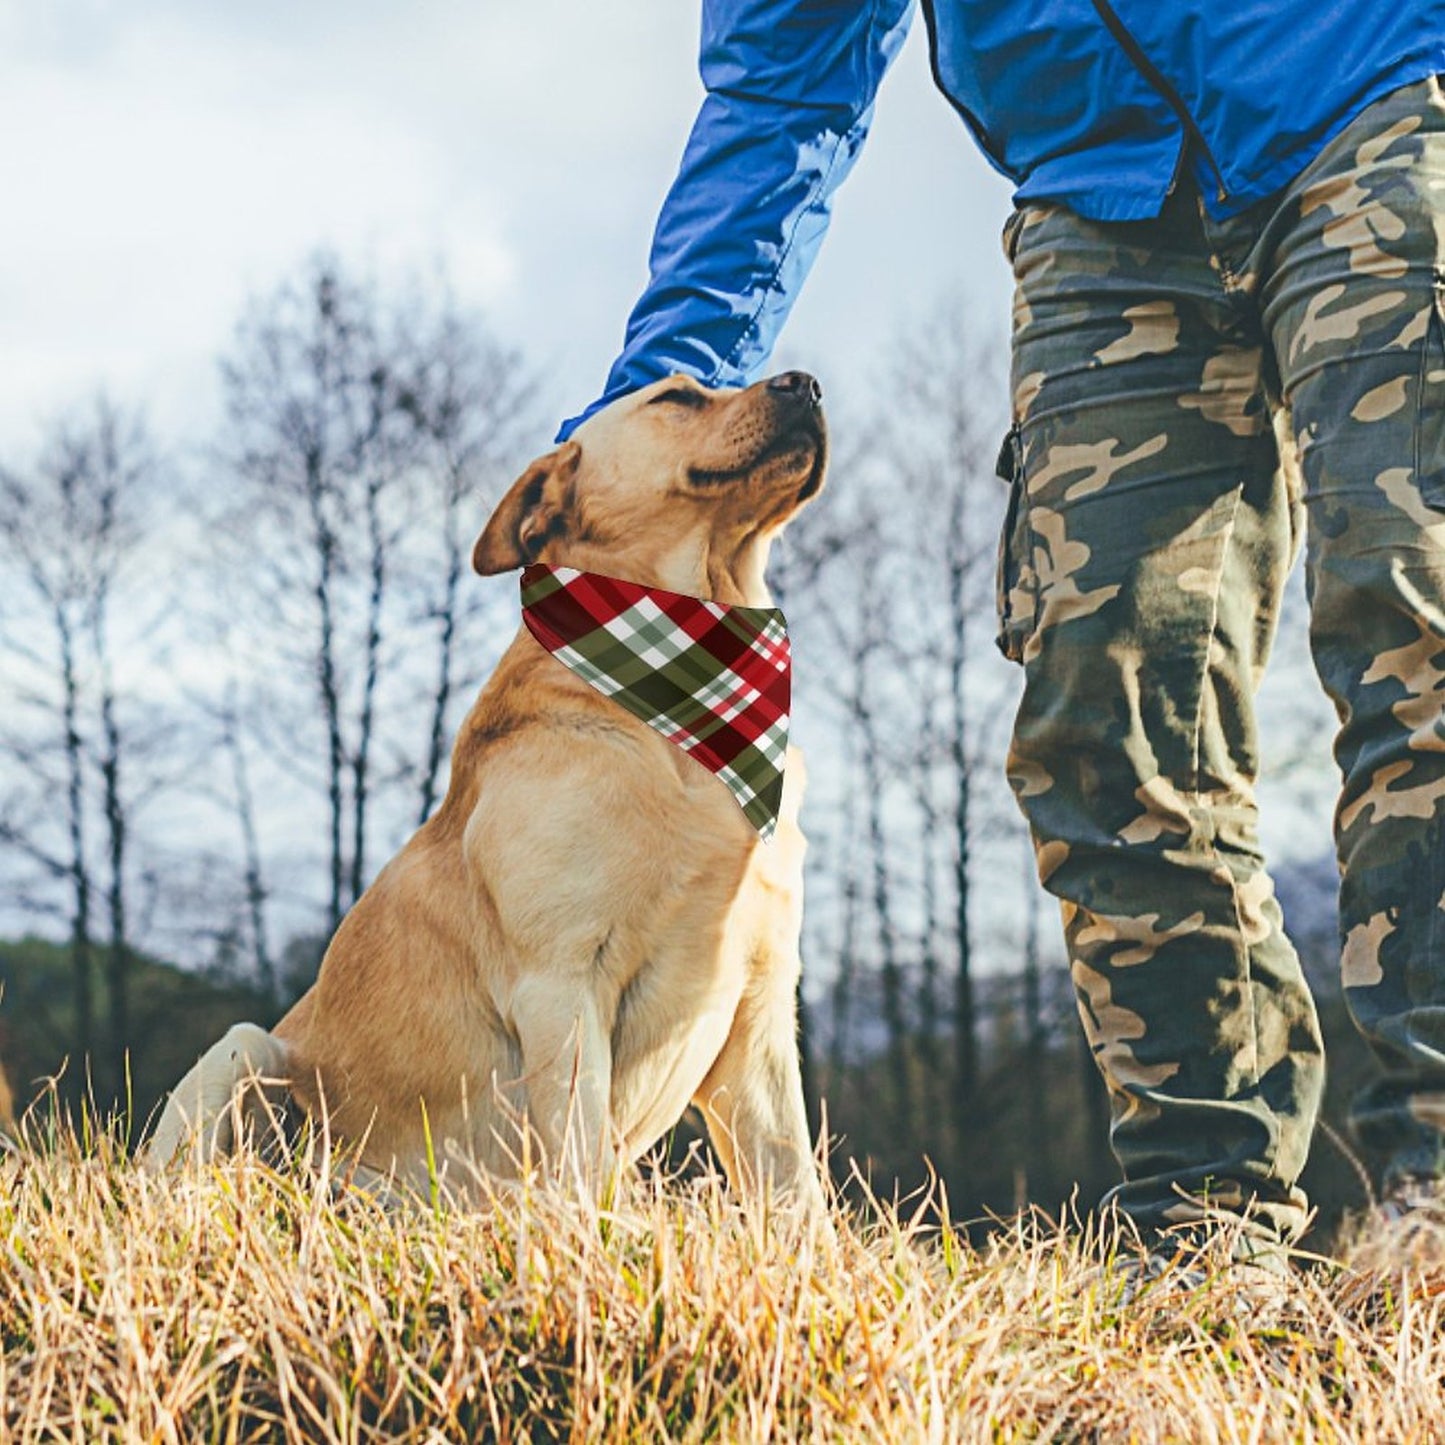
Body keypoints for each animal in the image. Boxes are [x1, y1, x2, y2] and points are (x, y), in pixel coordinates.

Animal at [148, 367, 832, 1213]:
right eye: (675, 397)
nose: (807, 383)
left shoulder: (761, 1002)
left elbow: (797, 1191)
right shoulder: (561, 981)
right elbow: (582, 1160)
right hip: (245, 1051)